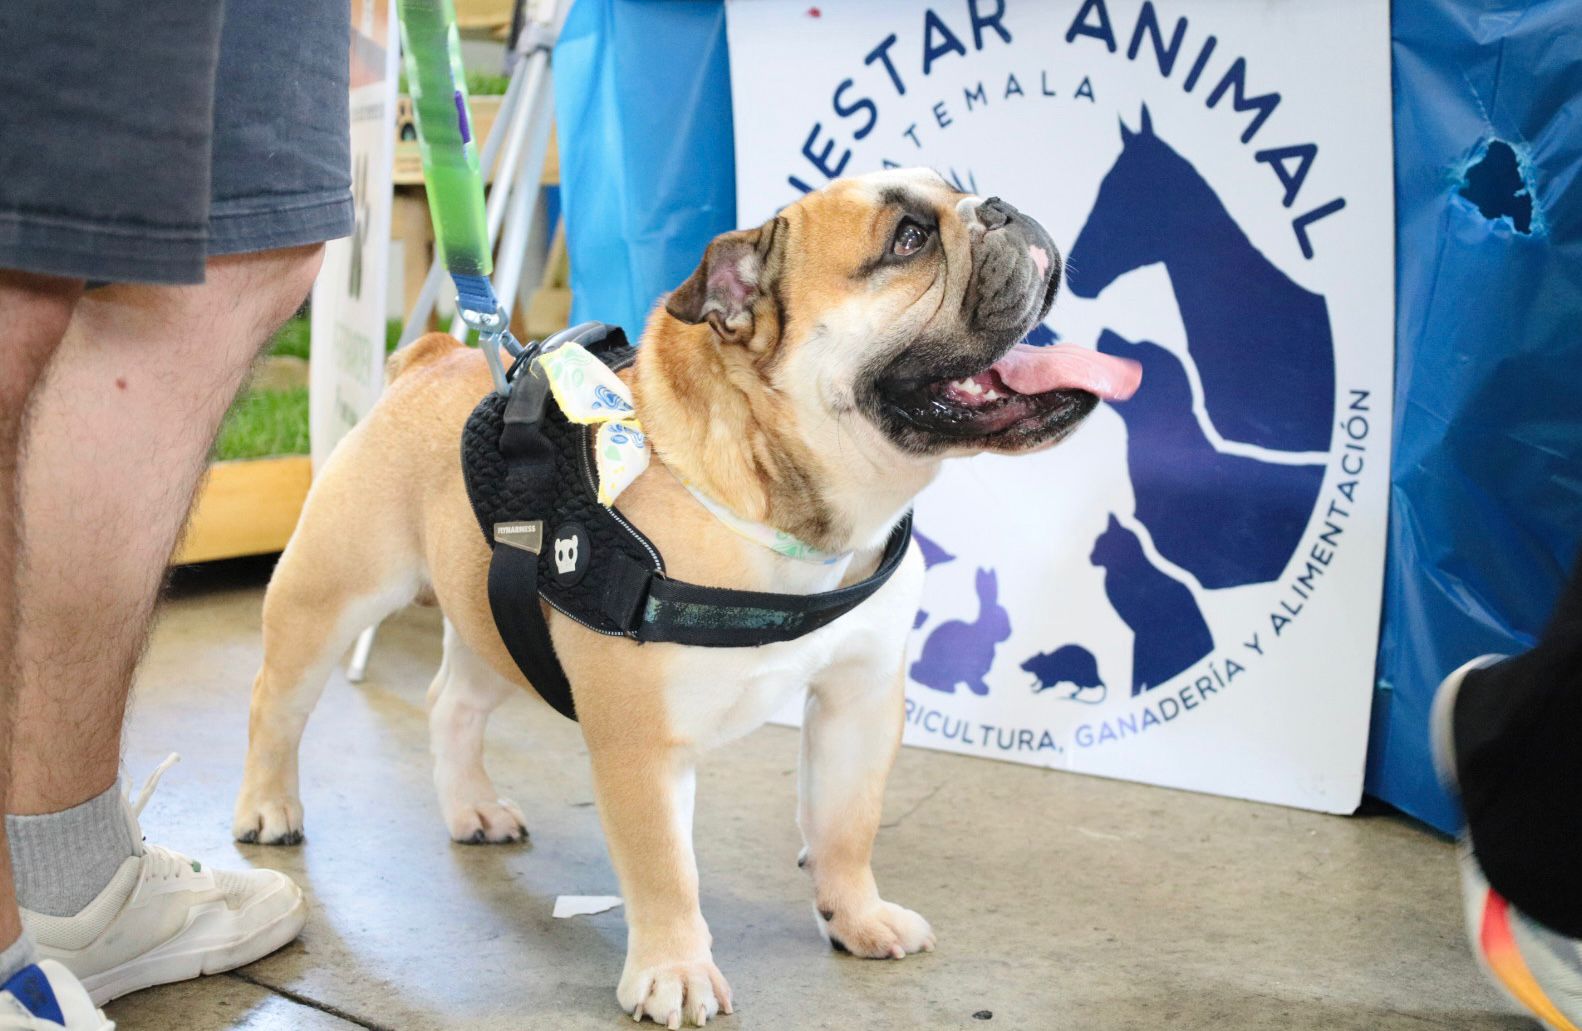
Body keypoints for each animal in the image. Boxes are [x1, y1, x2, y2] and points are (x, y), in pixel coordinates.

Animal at [233, 168, 1137, 1026]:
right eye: (909, 238)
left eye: (960, 192)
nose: (1002, 206)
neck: (786, 516)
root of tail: (427, 358)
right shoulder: (643, 742)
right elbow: (665, 868)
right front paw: (674, 971)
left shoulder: (860, 698)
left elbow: (847, 822)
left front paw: (857, 915)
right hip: (329, 596)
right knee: (278, 700)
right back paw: (269, 807)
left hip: (499, 612)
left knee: (451, 700)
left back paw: (473, 808)